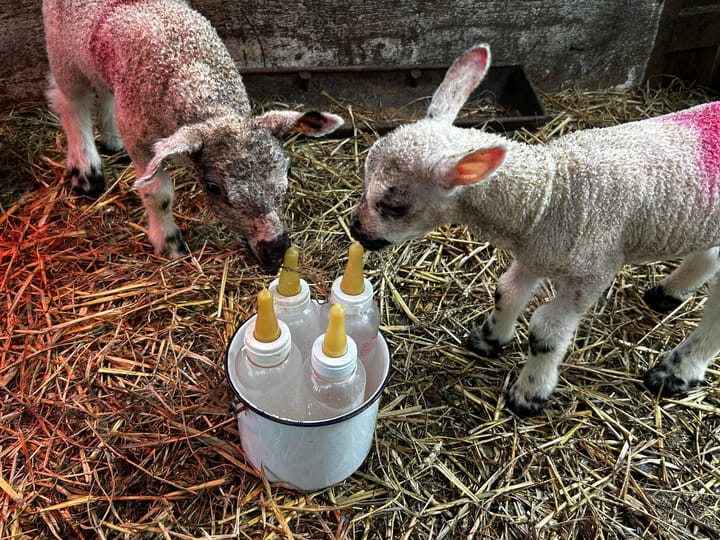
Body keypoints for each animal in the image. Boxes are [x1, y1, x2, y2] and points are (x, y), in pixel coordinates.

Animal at [42, 0, 343, 272]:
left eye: (288, 170)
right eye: (212, 187)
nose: (275, 251)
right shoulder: (141, 140)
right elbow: (158, 195)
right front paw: (169, 243)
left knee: (102, 89)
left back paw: (112, 139)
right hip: (62, 50)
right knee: (71, 102)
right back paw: (86, 172)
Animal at [349, 43, 720, 416]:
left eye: (395, 207)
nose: (356, 229)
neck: (552, 192)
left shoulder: (593, 273)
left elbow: (546, 332)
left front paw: (529, 393)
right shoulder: (535, 252)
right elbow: (506, 291)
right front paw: (489, 338)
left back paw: (676, 371)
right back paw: (669, 292)